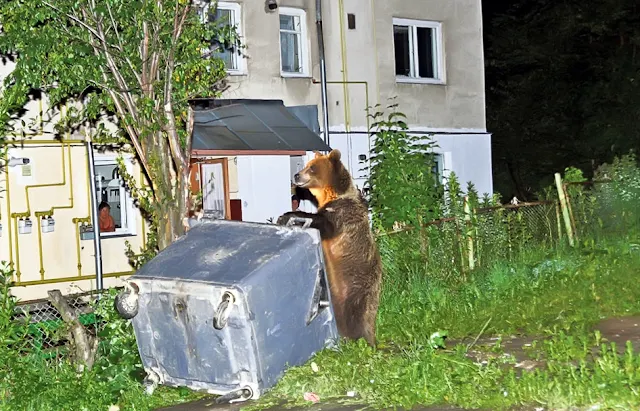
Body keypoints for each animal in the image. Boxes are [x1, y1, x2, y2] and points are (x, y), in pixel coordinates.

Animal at [274, 149, 380, 348]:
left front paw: (287, 215)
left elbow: (324, 223)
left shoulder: (343, 214)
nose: (297, 175)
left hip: (360, 288)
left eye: (312, 168)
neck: (331, 195)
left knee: (357, 313)